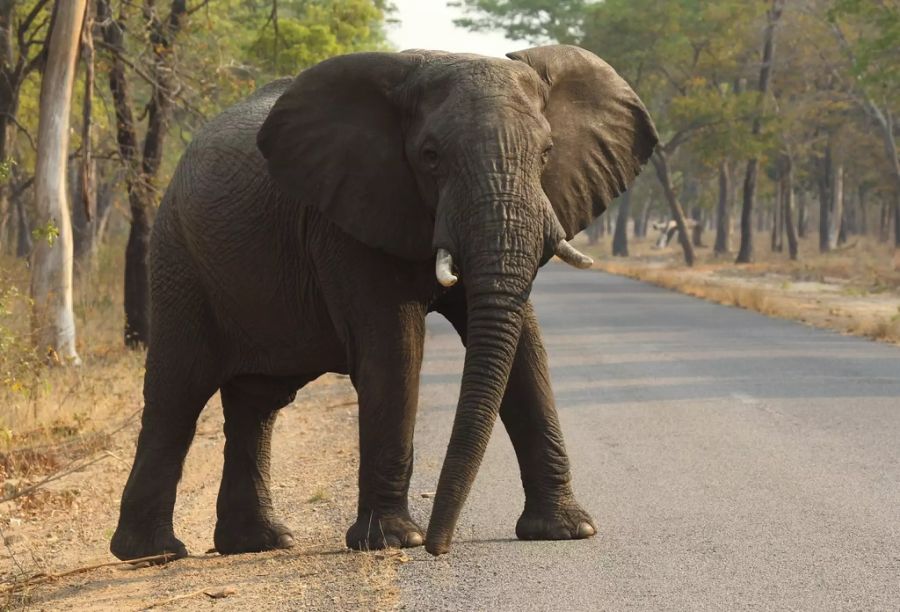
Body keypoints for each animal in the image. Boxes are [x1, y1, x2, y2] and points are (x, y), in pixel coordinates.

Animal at [109, 41, 656, 560]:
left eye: (546, 153)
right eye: (430, 156)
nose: (440, 546)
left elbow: (526, 350)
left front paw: (567, 531)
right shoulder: (347, 218)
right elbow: (396, 350)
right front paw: (394, 541)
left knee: (257, 402)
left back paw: (259, 543)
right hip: (178, 257)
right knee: (178, 391)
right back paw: (153, 554)